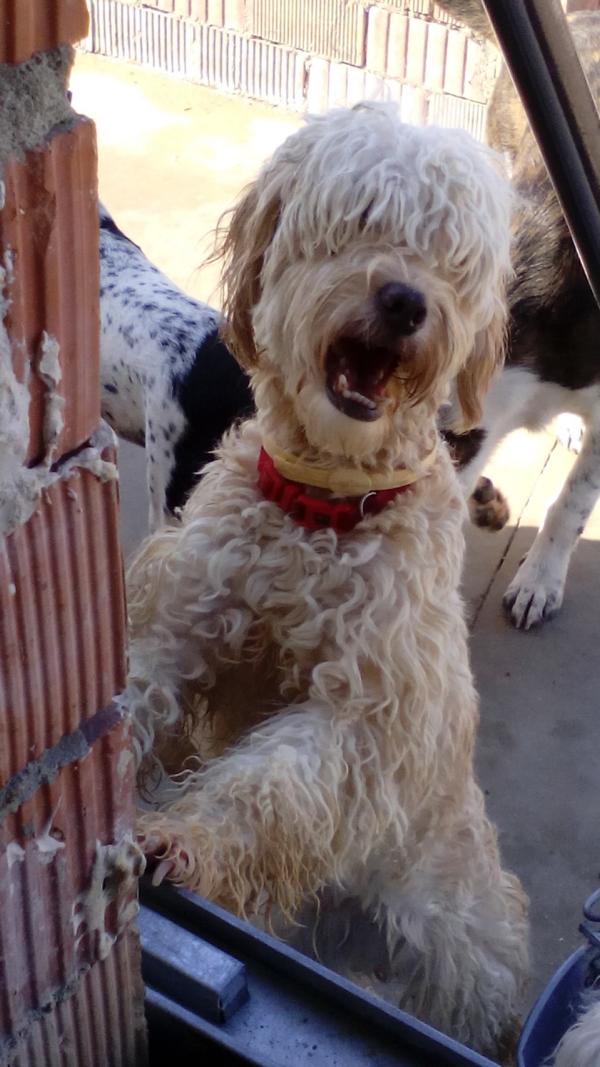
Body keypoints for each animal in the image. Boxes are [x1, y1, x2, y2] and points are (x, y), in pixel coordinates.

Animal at [124, 103, 528, 1057]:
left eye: (450, 254)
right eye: (363, 217)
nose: (406, 299)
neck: (322, 511)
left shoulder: (367, 714)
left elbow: (269, 784)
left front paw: (186, 838)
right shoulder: (179, 621)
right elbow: (129, 696)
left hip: (456, 945)